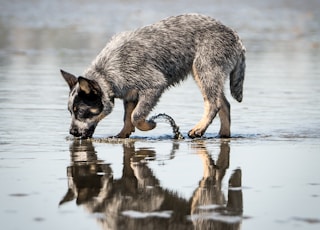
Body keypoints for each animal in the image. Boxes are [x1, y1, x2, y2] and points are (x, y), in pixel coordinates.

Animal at [60, 13, 245, 138]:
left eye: (81, 112)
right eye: (70, 112)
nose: (72, 132)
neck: (107, 71)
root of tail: (234, 34)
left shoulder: (154, 85)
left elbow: (136, 116)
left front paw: (149, 125)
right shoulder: (130, 94)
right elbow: (127, 117)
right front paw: (123, 134)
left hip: (204, 70)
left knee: (213, 104)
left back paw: (199, 128)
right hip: (209, 75)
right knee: (224, 104)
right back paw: (223, 134)